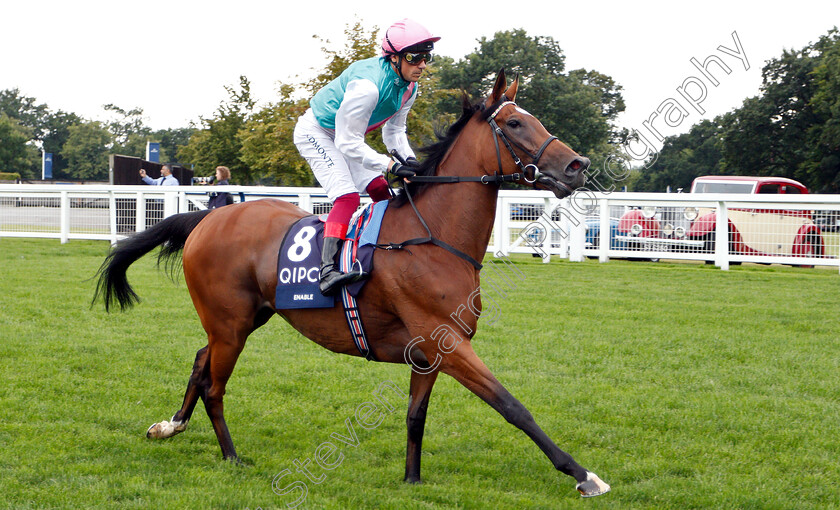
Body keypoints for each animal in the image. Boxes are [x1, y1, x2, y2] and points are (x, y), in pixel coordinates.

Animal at [95, 69, 612, 496]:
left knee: (201, 361)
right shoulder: (445, 340)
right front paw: (584, 475)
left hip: (243, 319)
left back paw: (171, 425)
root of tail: (208, 217)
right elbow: (512, 405)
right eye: (516, 124)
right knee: (214, 386)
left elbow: (416, 415)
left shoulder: (431, 351)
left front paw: (411, 479)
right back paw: (231, 456)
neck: (434, 237)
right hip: (231, 324)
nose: (578, 165)